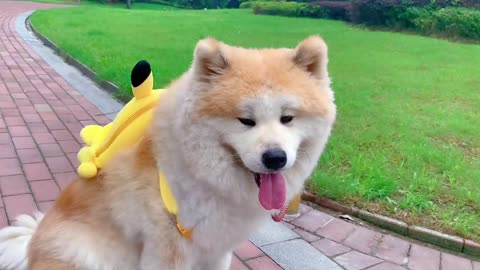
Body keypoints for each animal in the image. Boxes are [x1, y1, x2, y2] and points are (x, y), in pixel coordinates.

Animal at [0, 35, 338, 270]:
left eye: (287, 118)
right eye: (246, 120)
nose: (275, 158)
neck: (200, 174)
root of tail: (32, 244)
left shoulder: (215, 248)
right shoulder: (168, 250)